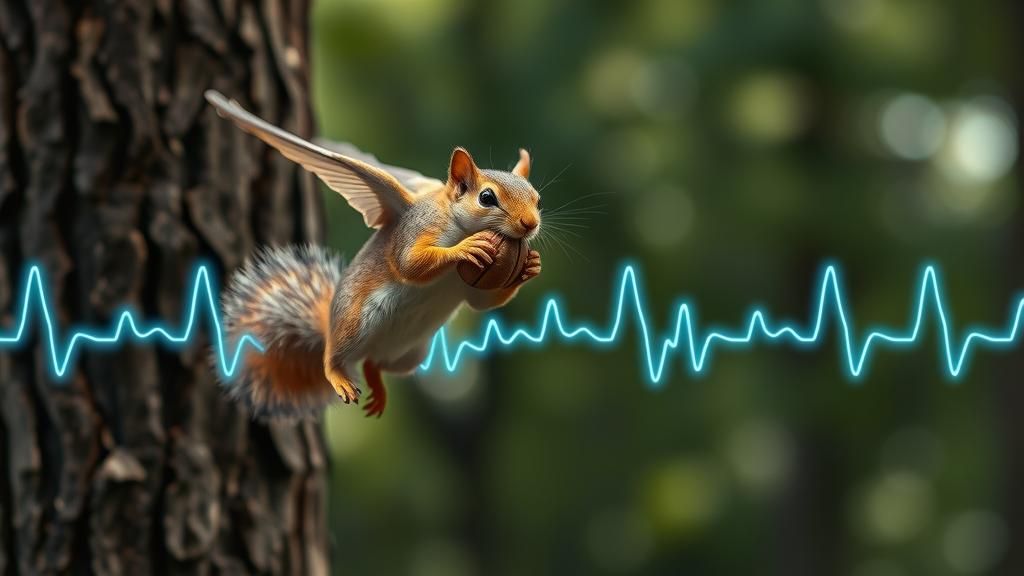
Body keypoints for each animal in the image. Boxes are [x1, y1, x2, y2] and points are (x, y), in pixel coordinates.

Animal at [205, 90, 542, 419]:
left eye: (537, 199)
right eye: (487, 197)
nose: (531, 224)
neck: (454, 219)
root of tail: (330, 328)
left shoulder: (467, 286)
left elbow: (480, 303)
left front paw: (530, 267)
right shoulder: (414, 231)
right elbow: (410, 264)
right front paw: (466, 248)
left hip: (409, 354)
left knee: (372, 364)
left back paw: (377, 389)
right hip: (354, 324)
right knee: (333, 358)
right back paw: (339, 375)